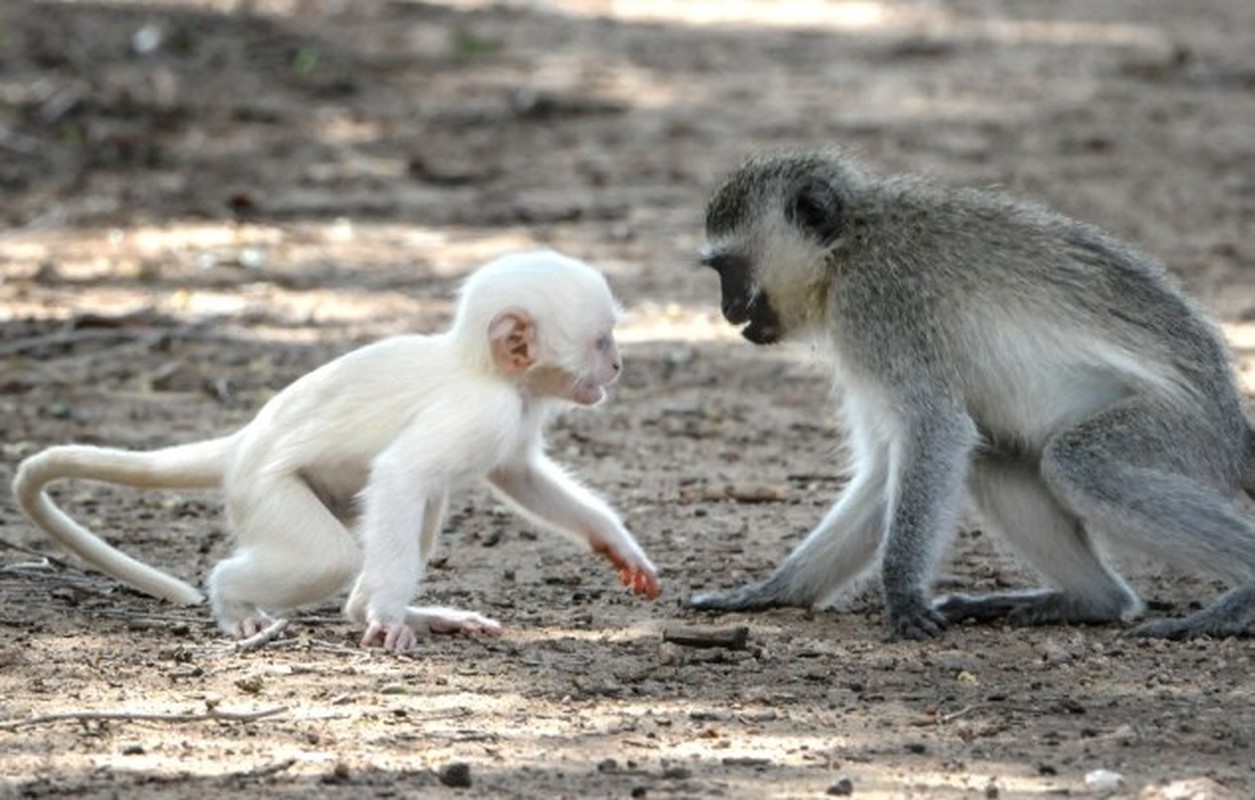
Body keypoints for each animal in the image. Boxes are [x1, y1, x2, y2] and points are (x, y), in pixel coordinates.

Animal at [14, 249, 662, 648]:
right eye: (601, 341)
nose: (617, 366)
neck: (485, 370)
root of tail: (246, 440)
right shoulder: (484, 409)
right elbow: (401, 473)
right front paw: (385, 616)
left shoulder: (515, 411)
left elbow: (519, 476)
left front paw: (618, 545)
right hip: (263, 493)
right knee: (329, 555)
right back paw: (235, 601)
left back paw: (390, 612)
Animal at [687, 149, 1255, 640]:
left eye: (729, 269)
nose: (727, 310)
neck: (849, 245)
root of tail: (1231, 422)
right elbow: (886, 466)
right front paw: (774, 590)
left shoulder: (877, 307)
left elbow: (935, 430)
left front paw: (902, 593)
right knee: (993, 459)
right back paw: (1088, 599)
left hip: (1183, 432)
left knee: (1079, 464)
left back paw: (1243, 597)